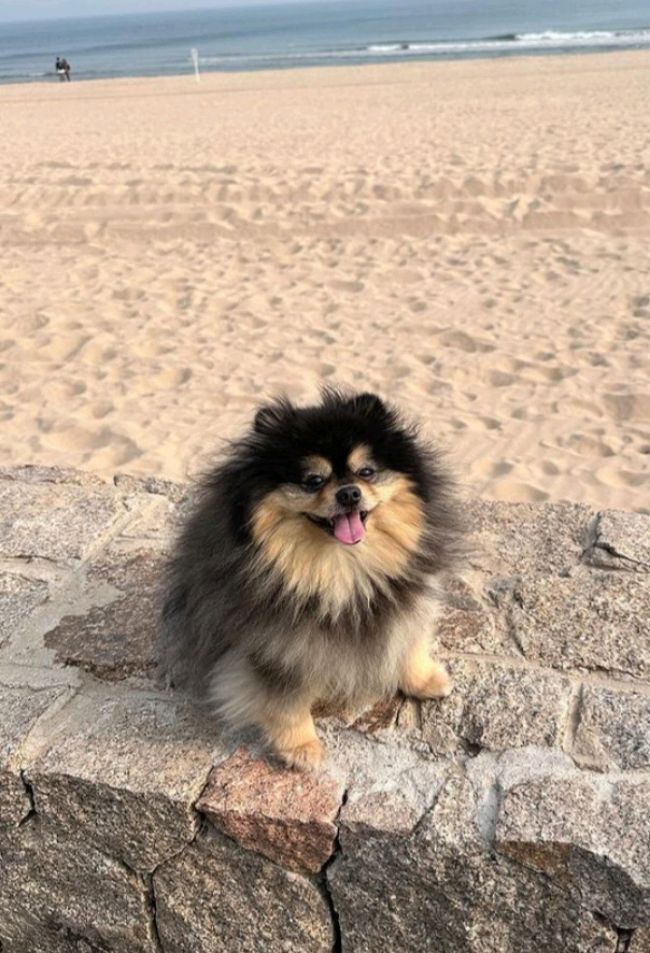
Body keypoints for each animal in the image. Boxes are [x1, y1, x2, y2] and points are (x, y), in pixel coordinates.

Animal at [160, 390, 460, 770]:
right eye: (313, 480)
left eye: (366, 471)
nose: (349, 493)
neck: (343, 569)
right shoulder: (275, 646)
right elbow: (285, 702)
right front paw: (301, 747)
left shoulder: (402, 602)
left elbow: (407, 642)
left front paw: (425, 680)